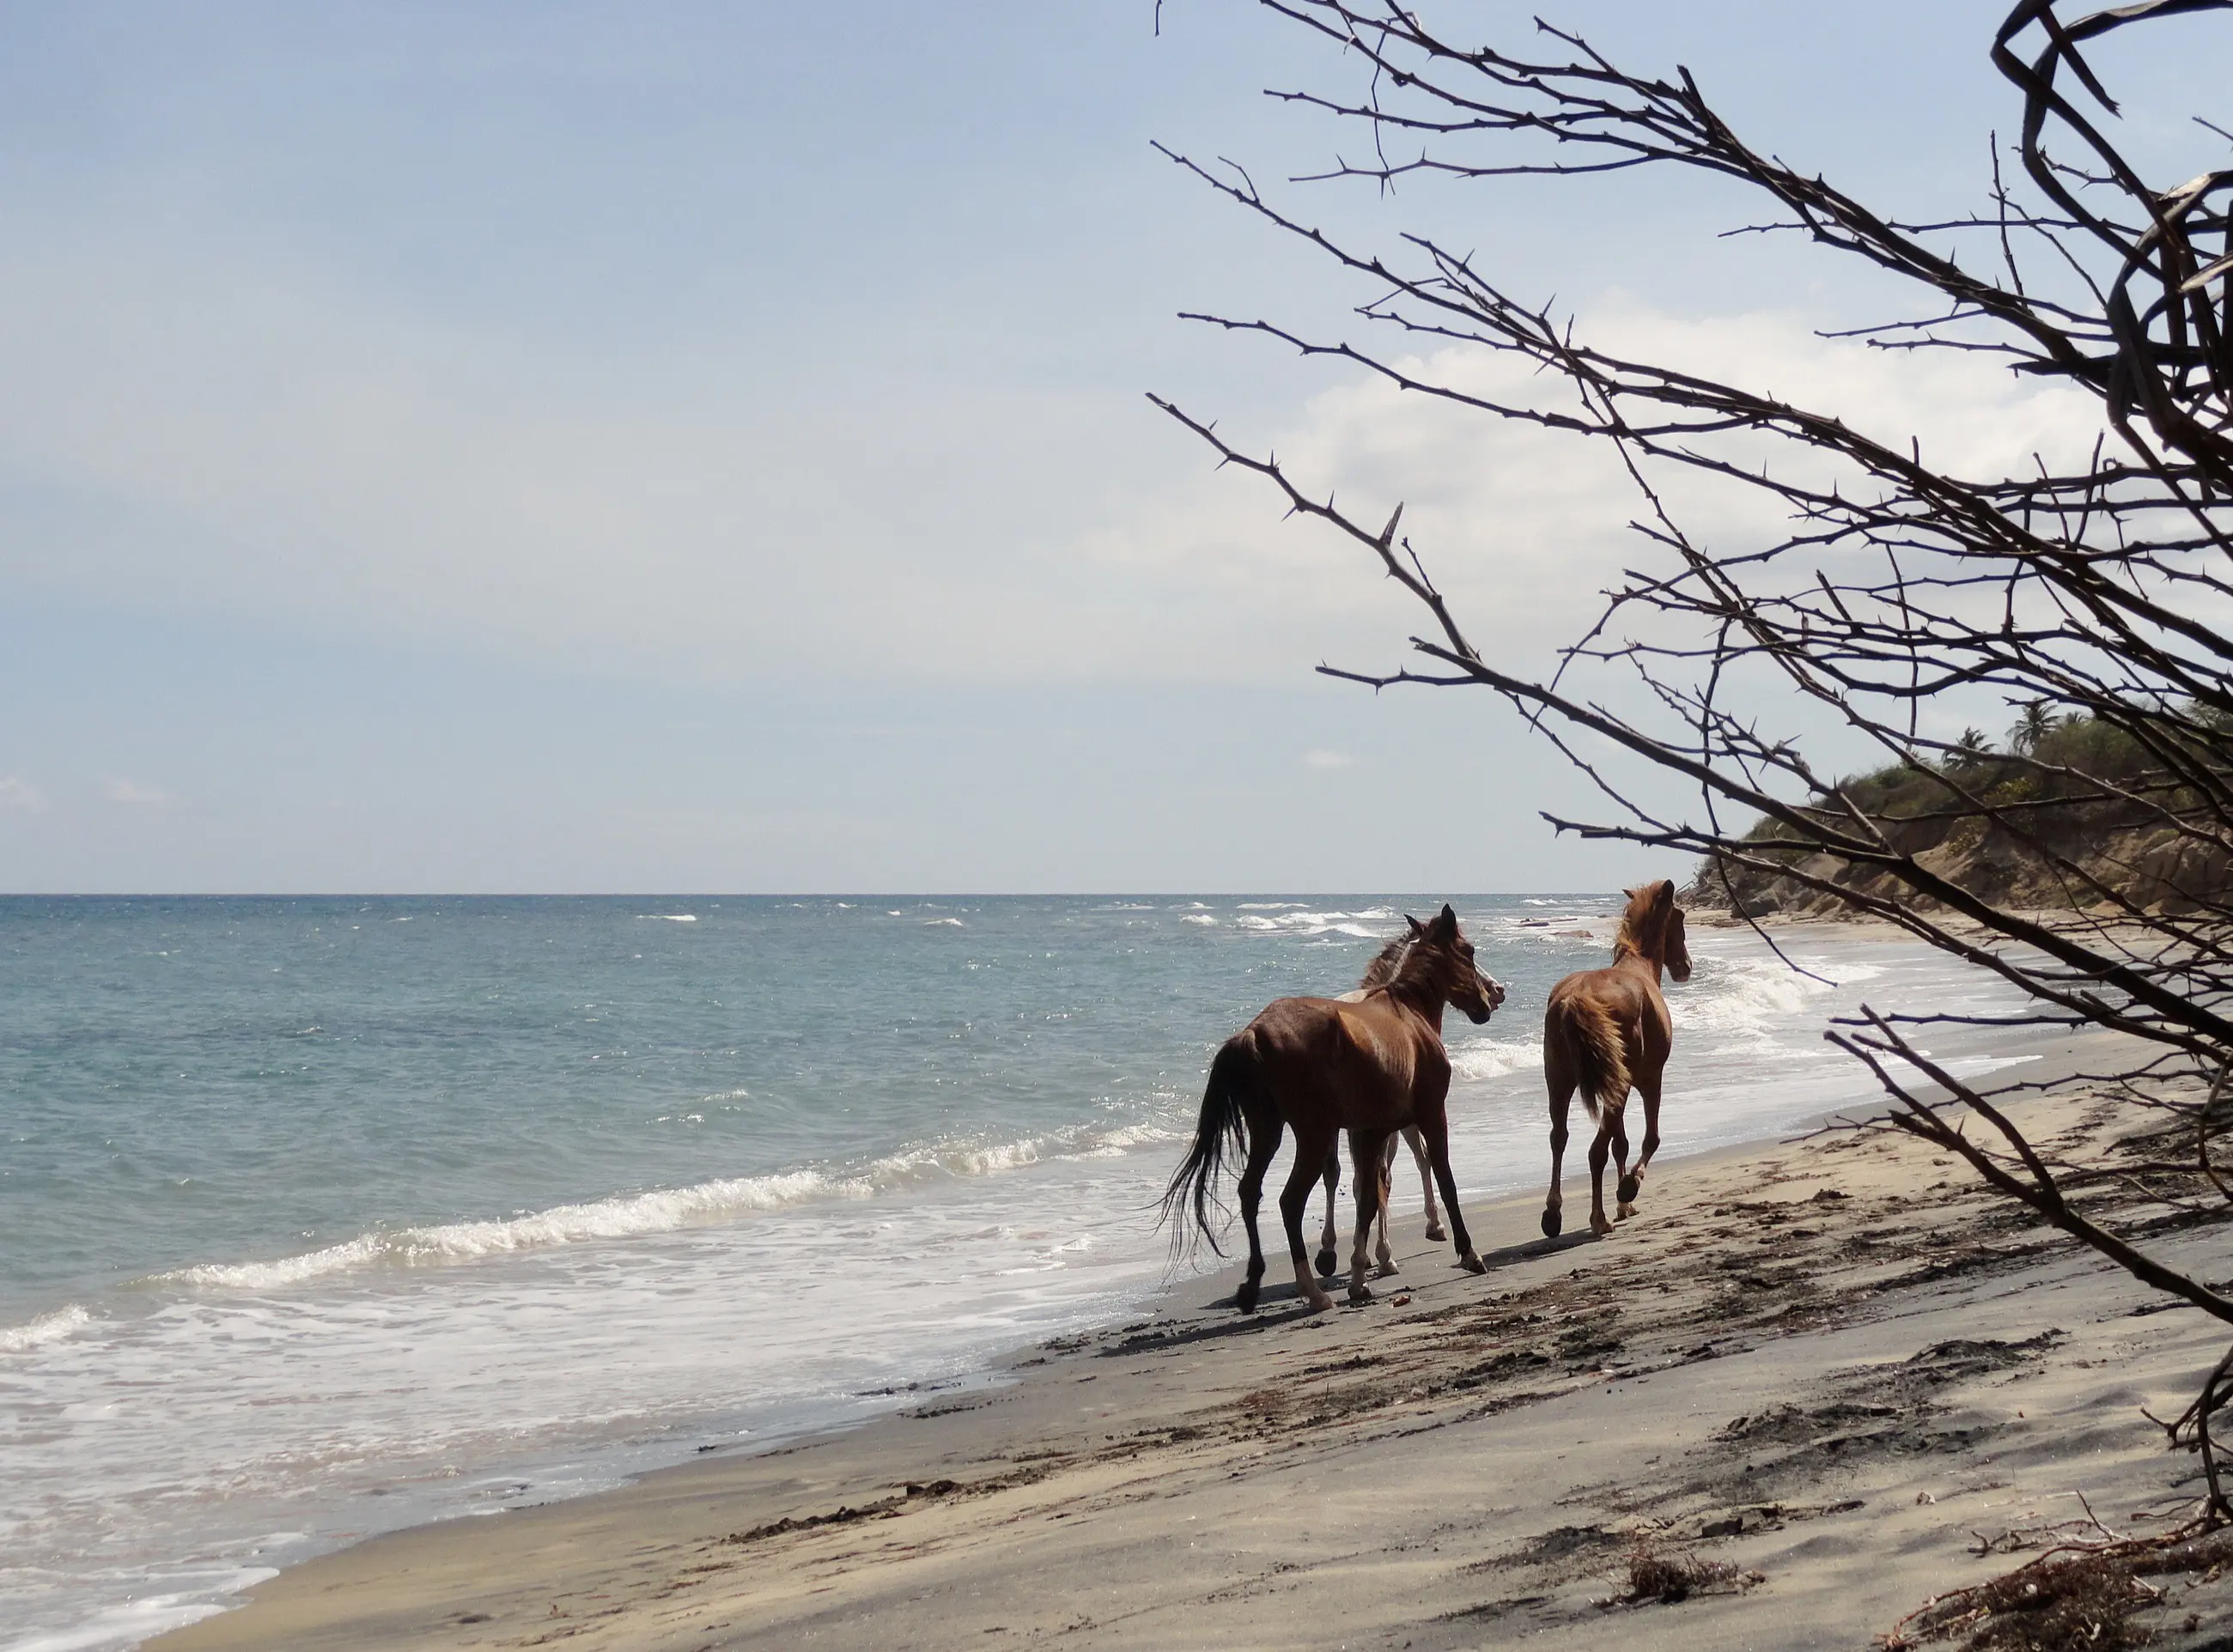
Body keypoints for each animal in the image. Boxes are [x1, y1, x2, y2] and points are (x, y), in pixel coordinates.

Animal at [1161, 905, 1505, 1313]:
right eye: (1469, 951)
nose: (1491, 997)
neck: (1408, 1013)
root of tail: (1253, 1033)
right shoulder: (1431, 1116)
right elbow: (1443, 1180)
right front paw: (1468, 1254)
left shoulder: (1370, 1133)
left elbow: (1369, 1198)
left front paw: (1360, 1276)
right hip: (1314, 1135)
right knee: (1290, 1201)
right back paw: (1313, 1291)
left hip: (1269, 1131)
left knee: (1250, 1193)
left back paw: (1253, 1286)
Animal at [1539, 879, 1691, 1240]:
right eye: (1680, 917)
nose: (1686, 967)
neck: (1638, 965)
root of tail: (1575, 998)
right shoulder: (1649, 1079)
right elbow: (1650, 1139)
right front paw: (1629, 1188)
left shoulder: (1615, 1084)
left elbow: (1620, 1143)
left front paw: (1625, 1204)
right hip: (1615, 1087)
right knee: (1595, 1151)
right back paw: (1599, 1218)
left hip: (1560, 1083)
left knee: (1559, 1138)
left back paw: (1553, 1213)